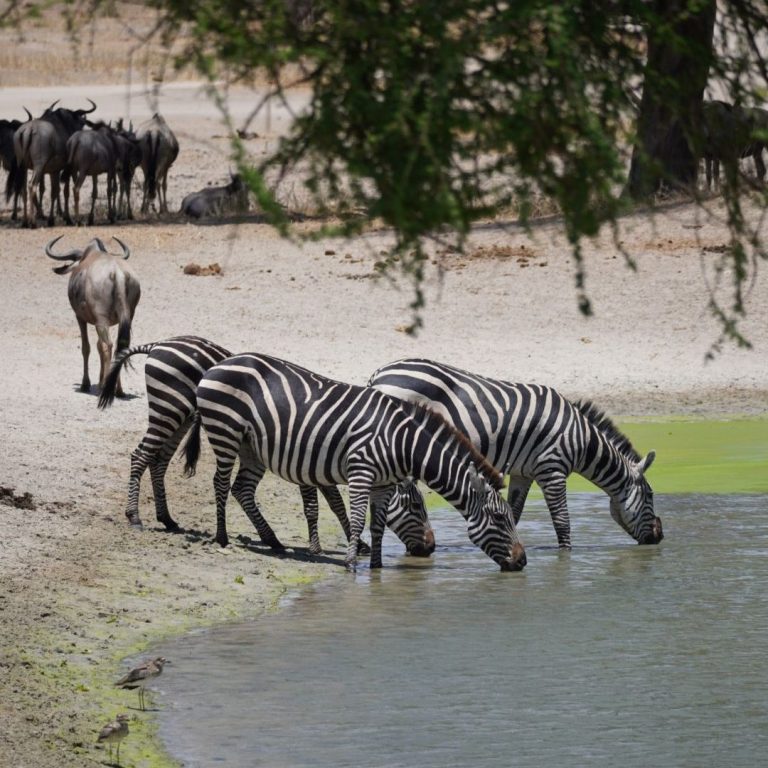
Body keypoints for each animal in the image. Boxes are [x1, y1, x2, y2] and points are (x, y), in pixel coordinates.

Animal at [98, 336, 435, 558]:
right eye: (416, 507)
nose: (431, 549)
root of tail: (159, 345)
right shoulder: (308, 462)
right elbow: (317, 506)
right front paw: (321, 546)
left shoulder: (321, 467)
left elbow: (336, 504)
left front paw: (358, 544)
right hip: (169, 410)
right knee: (141, 455)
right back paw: (135, 516)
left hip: (177, 417)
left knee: (159, 460)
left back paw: (167, 519)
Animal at [183, 352, 527, 572]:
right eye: (500, 518)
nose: (523, 562)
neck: (401, 443)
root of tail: (219, 364)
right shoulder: (361, 472)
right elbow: (358, 518)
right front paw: (351, 564)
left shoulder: (384, 484)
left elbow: (377, 525)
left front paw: (376, 567)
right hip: (225, 431)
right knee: (221, 483)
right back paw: (223, 538)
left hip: (252, 449)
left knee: (242, 489)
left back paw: (274, 541)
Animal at [368, 358, 663, 550]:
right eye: (650, 495)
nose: (659, 537)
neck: (581, 439)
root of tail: (380, 373)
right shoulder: (552, 469)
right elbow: (562, 521)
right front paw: (565, 558)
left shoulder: (524, 473)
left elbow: (515, 512)